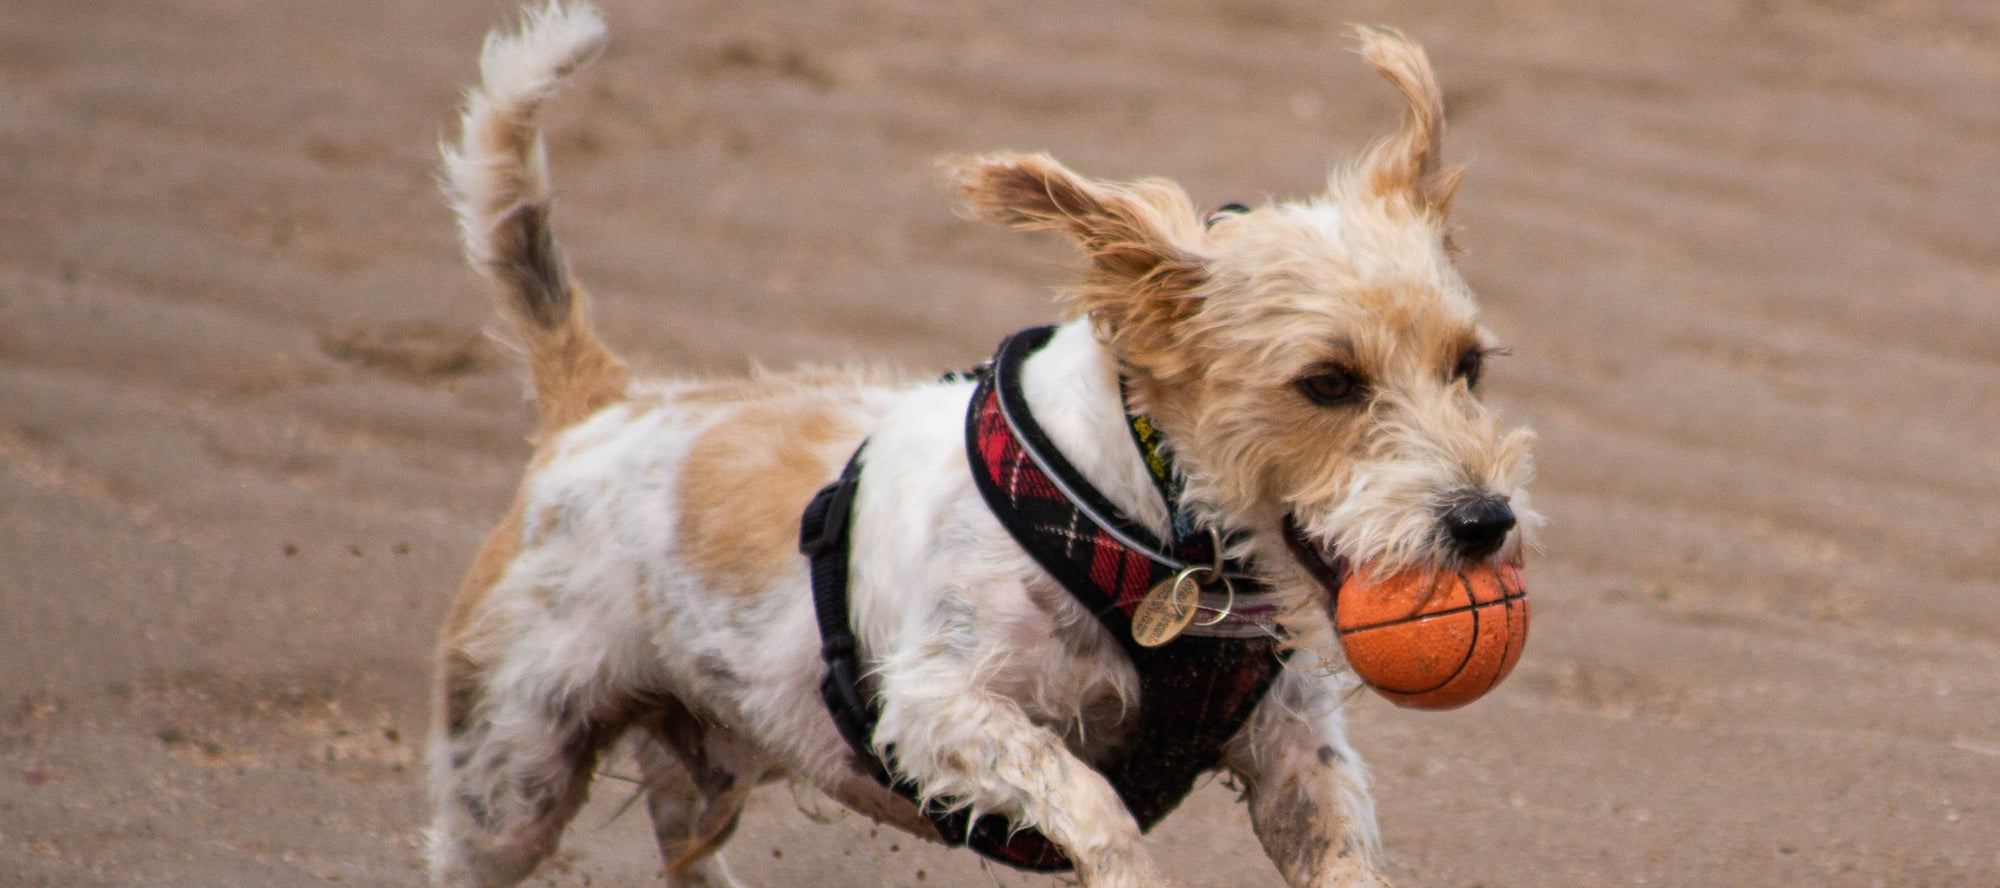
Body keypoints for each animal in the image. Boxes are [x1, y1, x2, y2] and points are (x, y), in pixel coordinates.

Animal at [430, 3, 1536, 884]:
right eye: (1327, 383)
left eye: (1467, 366)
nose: (1485, 521)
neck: (1144, 526)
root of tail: (599, 402)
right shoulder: (937, 706)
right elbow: (1089, 796)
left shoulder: (1293, 746)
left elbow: (1340, 845)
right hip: (511, 774)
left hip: (699, 761)